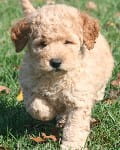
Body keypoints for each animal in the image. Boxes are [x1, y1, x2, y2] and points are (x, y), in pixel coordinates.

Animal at [10, 0, 113, 149]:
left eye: (68, 42)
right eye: (42, 44)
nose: (55, 62)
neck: (56, 78)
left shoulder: (78, 101)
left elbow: (75, 127)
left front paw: (71, 146)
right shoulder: (29, 85)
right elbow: (37, 106)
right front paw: (48, 112)